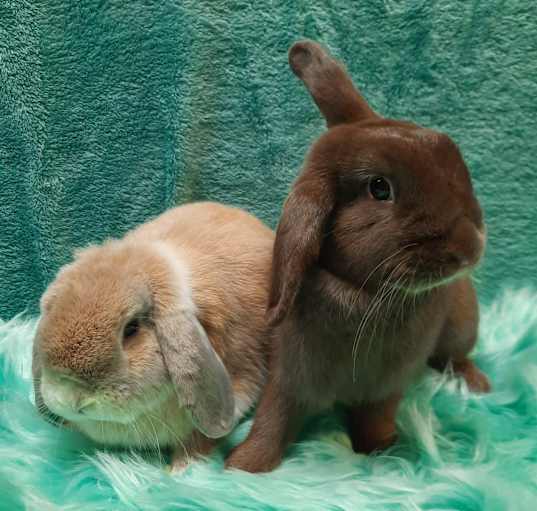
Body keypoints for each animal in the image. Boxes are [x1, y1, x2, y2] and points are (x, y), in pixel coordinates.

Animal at [226, 42, 490, 474]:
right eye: (379, 188)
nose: (469, 247)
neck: (364, 294)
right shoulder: (290, 377)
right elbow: (272, 418)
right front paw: (244, 465)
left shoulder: (385, 387)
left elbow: (376, 417)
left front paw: (381, 451)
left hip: (462, 327)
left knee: (457, 356)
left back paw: (477, 384)